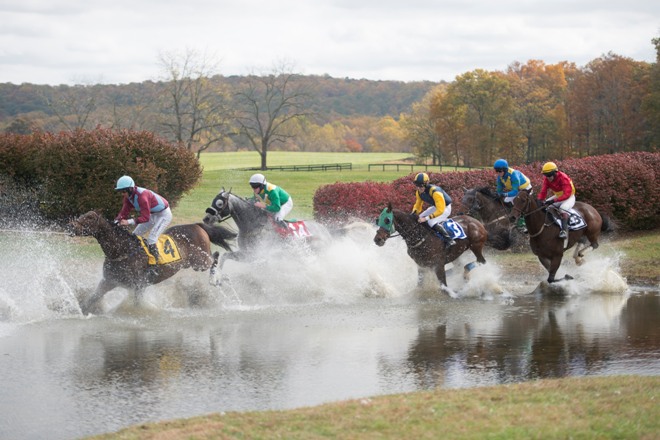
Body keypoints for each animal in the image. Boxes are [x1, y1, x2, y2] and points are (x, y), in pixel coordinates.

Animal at [69, 211, 237, 314]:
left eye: (89, 218)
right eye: (83, 215)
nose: (71, 226)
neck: (123, 251)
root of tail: (197, 225)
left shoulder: (138, 285)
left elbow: (137, 304)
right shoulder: (108, 281)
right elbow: (92, 298)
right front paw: (80, 310)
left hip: (199, 262)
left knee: (215, 256)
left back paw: (215, 279)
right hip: (191, 263)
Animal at [201, 187, 332, 284]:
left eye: (220, 203)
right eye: (213, 200)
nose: (206, 218)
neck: (253, 224)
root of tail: (324, 230)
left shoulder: (254, 255)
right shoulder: (245, 253)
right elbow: (225, 256)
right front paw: (216, 279)